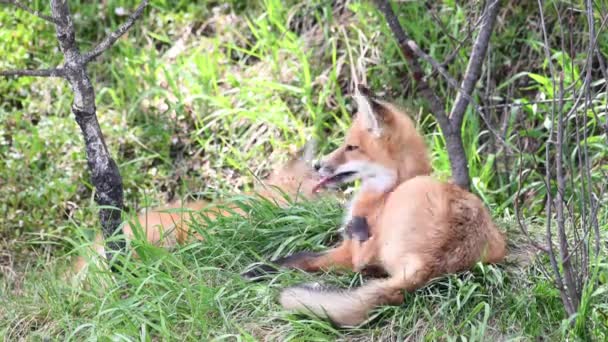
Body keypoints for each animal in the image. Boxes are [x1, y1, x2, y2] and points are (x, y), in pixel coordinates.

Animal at [247, 85, 508, 326]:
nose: (317, 165)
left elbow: (302, 257)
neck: (385, 191)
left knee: (362, 264)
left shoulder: (345, 250)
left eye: (351, 147)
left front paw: (259, 269)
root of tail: (432, 263)